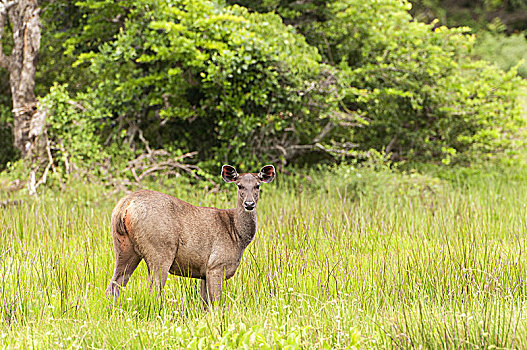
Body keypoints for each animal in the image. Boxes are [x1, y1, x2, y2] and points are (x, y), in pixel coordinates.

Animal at [104, 165, 276, 308]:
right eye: (239, 185)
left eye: (257, 186)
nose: (249, 204)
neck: (237, 235)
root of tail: (125, 205)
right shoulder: (216, 264)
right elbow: (216, 303)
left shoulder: (204, 271)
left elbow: (205, 304)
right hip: (160, 249)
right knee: (153, 290)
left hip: (123, 247)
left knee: (114, 285)